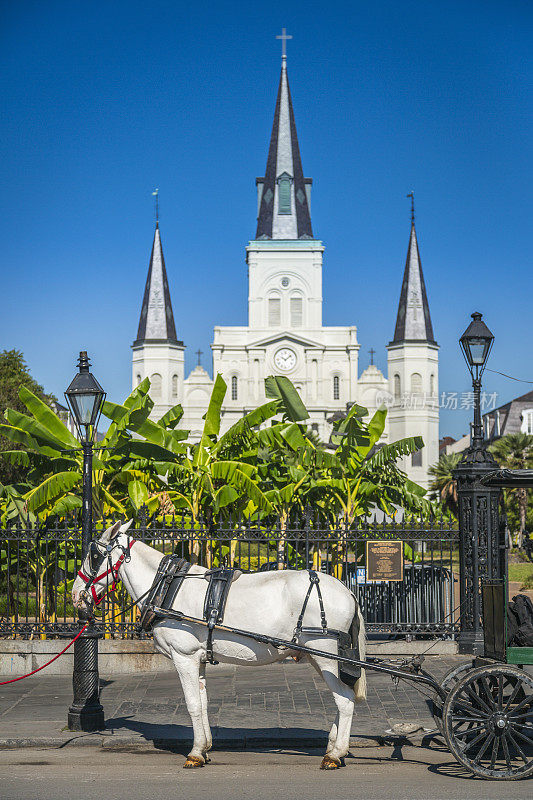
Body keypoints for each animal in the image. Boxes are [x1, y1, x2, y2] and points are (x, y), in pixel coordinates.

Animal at [71, 520, 366, 772]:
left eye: (94, 555)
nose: (76, 595)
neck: (168, 586)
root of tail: (348, 590)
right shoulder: (198, 659)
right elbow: (202, 703)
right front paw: (204, 748)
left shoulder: (184, 657)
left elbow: (192, 704)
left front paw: (194, 753)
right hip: (319, 657)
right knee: (342, 697)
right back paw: (333, 747)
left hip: (326, 655)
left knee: (345, 699)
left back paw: (335, 754)